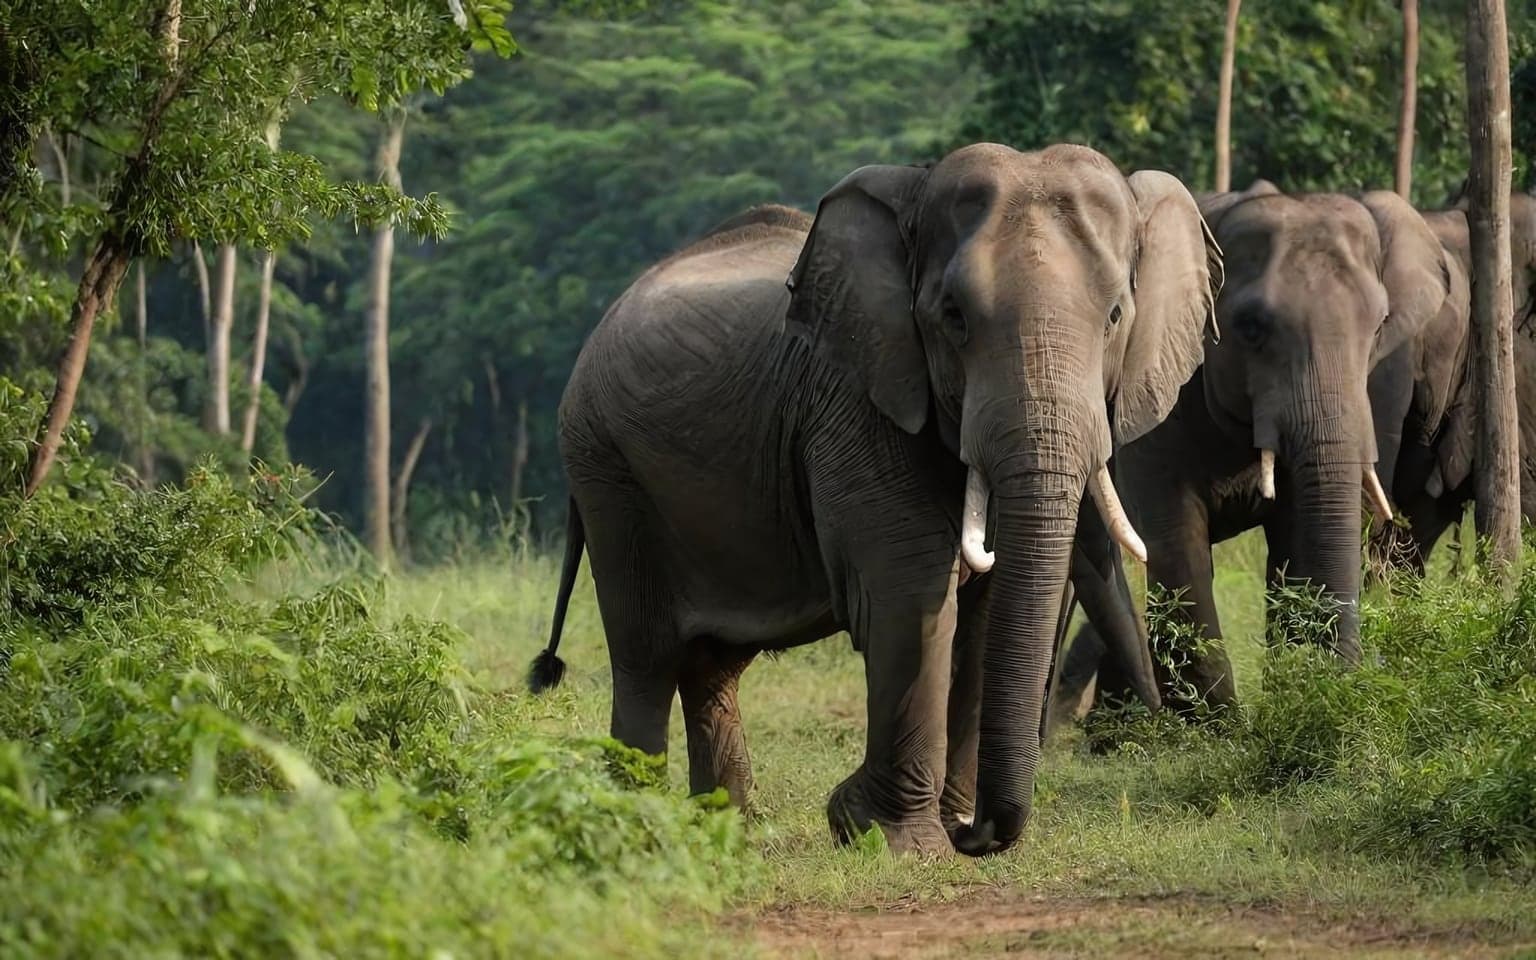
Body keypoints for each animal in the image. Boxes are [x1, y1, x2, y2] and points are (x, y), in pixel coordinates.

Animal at [526, 143, 1220, 857]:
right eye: (953, 317)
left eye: (1115, 317)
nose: (979, 835)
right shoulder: (858, 398)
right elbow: (910, 590)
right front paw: (892, 839)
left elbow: (988, 610)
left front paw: (939, 826)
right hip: (606, 467)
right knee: (645, 653)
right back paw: (636, 829)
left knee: (711, 664)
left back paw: (728, 827)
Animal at [1056, 182, 1457, 716]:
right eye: (1250, 328)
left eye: (1379, 327)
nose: (1356, 681)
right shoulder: (1155, 403)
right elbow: (1173, 542)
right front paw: (1218, 725)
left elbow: (1294, 540)